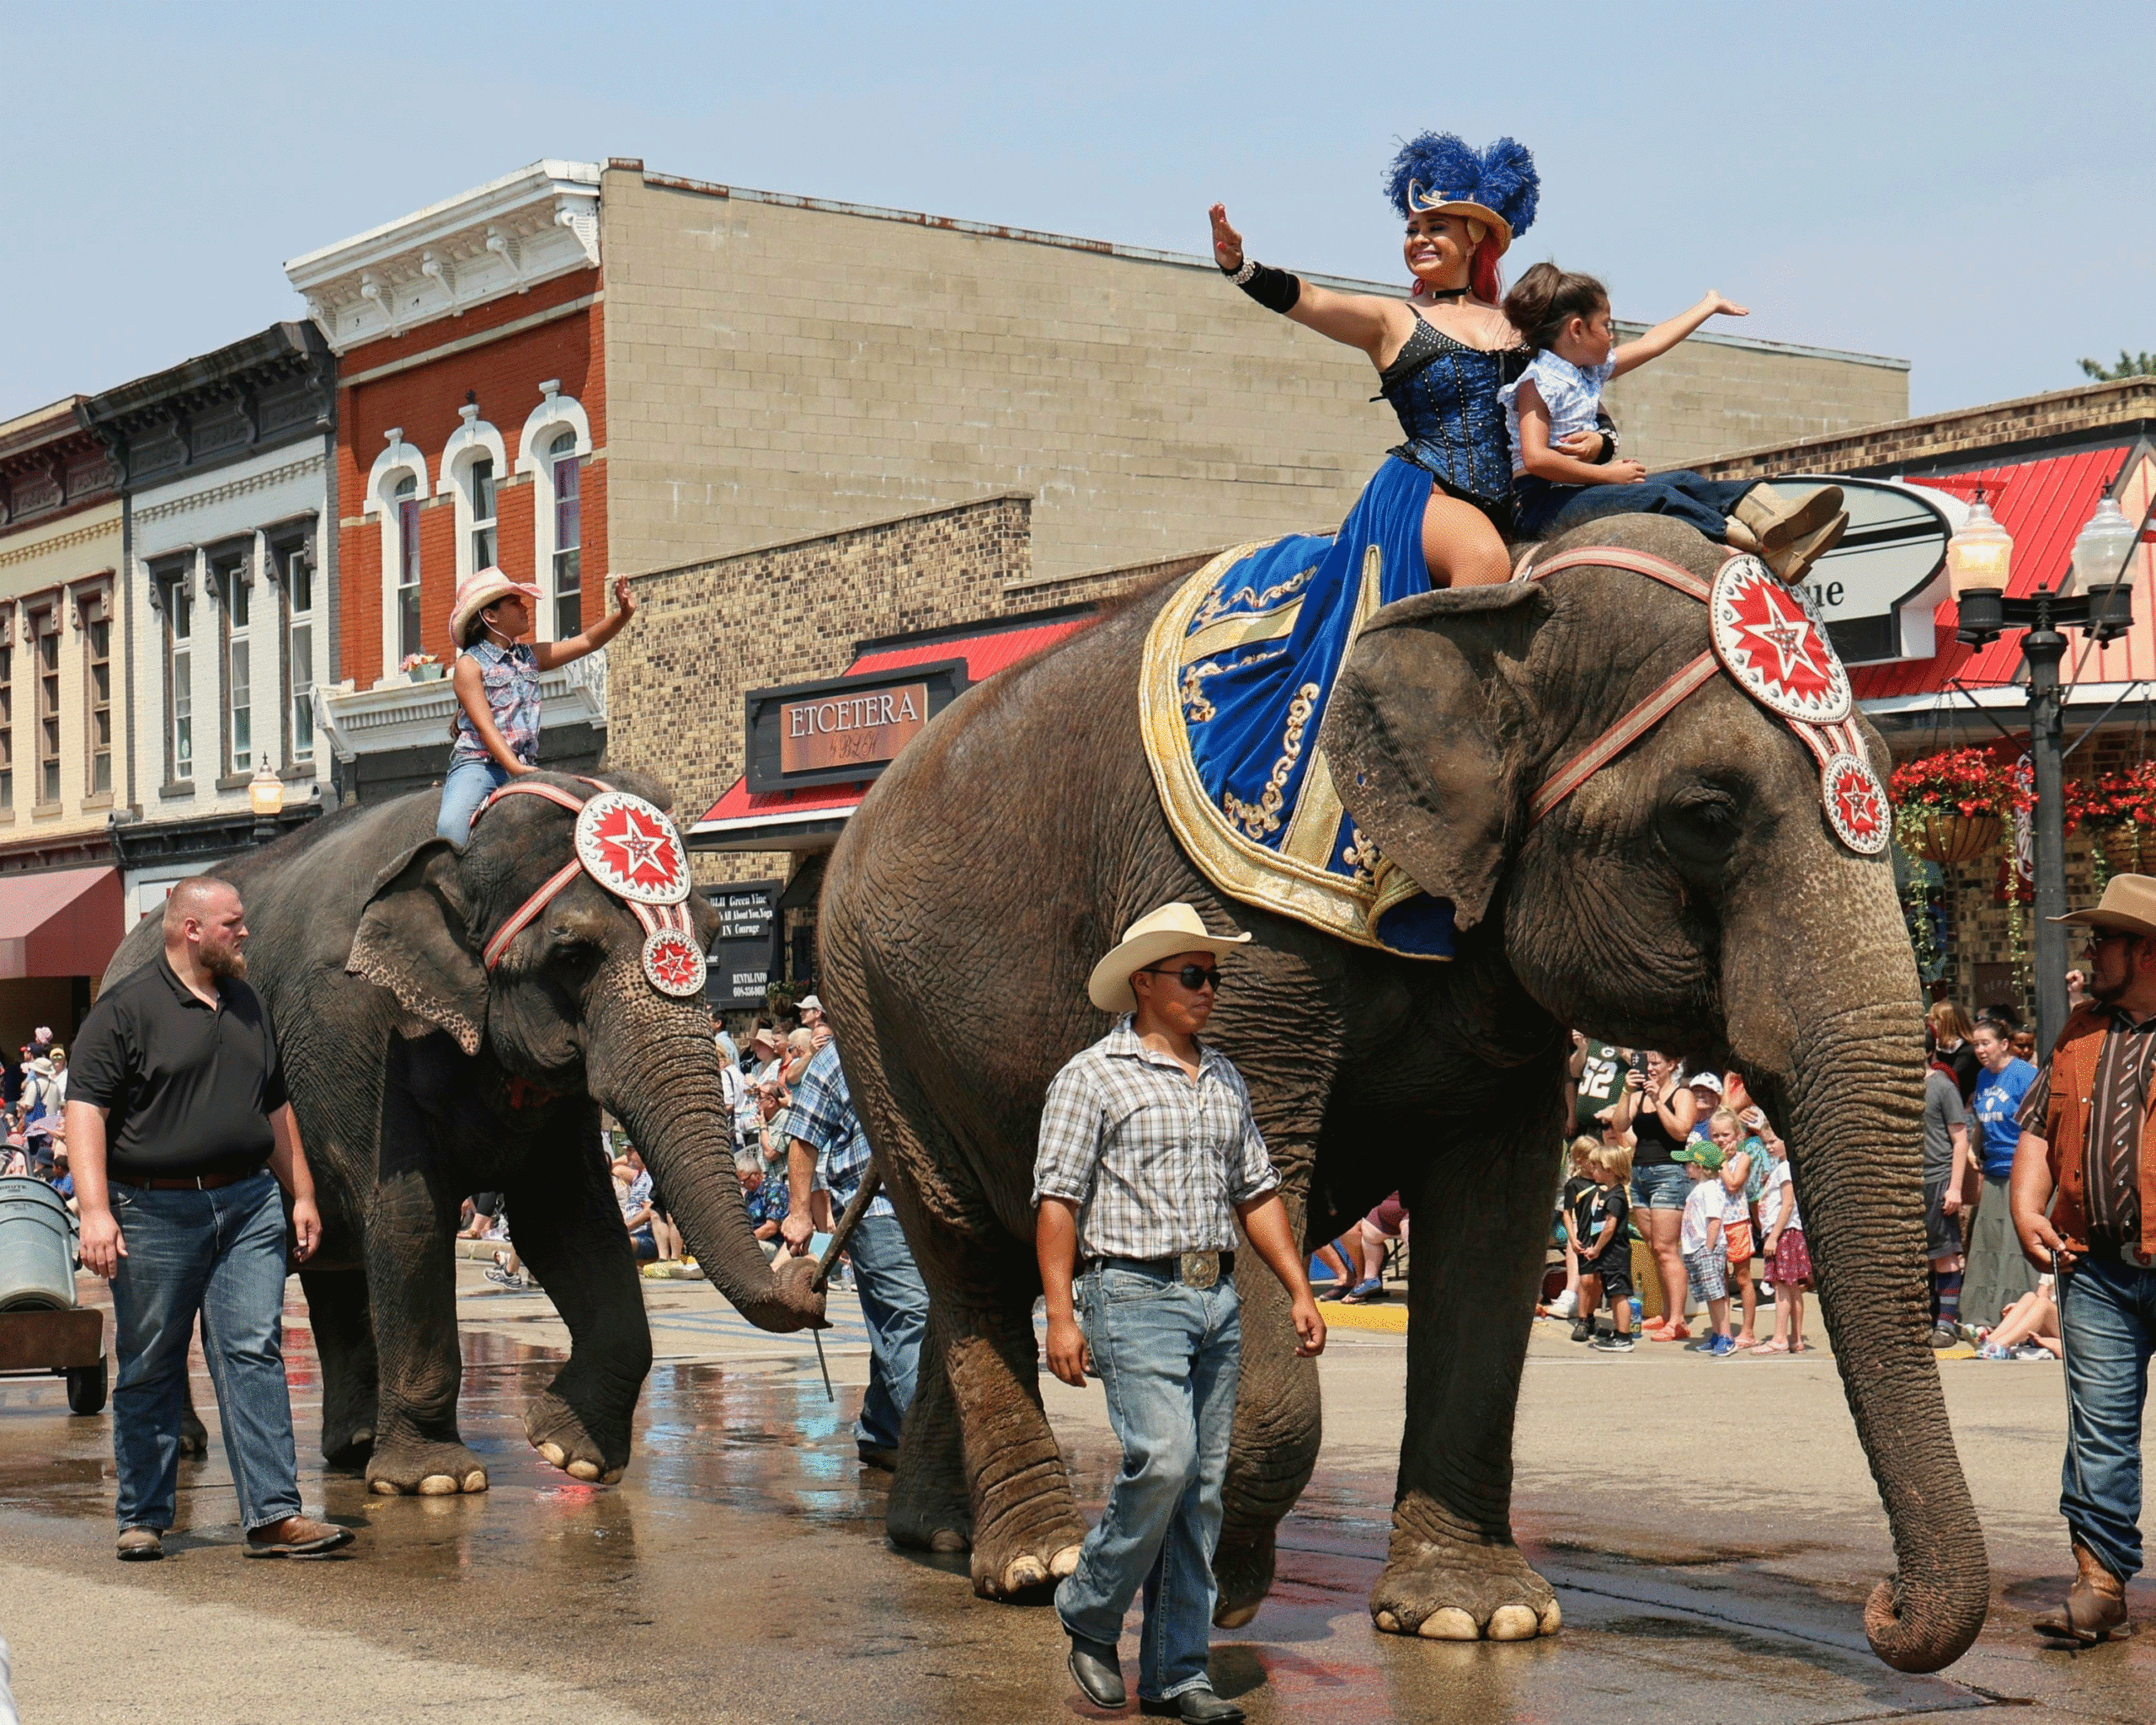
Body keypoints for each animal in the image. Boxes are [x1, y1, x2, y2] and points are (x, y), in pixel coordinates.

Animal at [99, 767, 823, 1492]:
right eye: (573, 954)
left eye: (713, 939)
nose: (809, 1271)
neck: (462, 838)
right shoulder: (354, 1030)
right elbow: (411, 1215)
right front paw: (436, 1481)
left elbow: (571, 1218)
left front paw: (571, 1454)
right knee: (168, 1289)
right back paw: (188, 1444)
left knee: (333, 1264)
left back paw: (355, 1446)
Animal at [819, 515, 1983, 1673]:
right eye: (1707, 812)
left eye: (1891, 771)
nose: (1881, 1607)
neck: (1504, 589)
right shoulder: (1236, 917)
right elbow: (1252, 1185)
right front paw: (1222, 1585)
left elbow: (1492, 1217)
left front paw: (1476, 1615)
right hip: (870, 1013)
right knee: (964, 1251)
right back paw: (1035, 1562)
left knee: (999, 1262)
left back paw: (943, 1535)